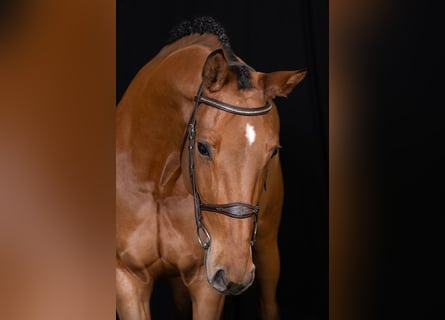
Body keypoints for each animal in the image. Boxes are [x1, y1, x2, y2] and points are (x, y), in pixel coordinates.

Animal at [115, 17, 306, 320]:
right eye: (202, 148)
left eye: (273, 152)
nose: (234, 272)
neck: (158, 183)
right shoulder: (128, 278)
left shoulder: (205, 283)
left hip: (265, 246)